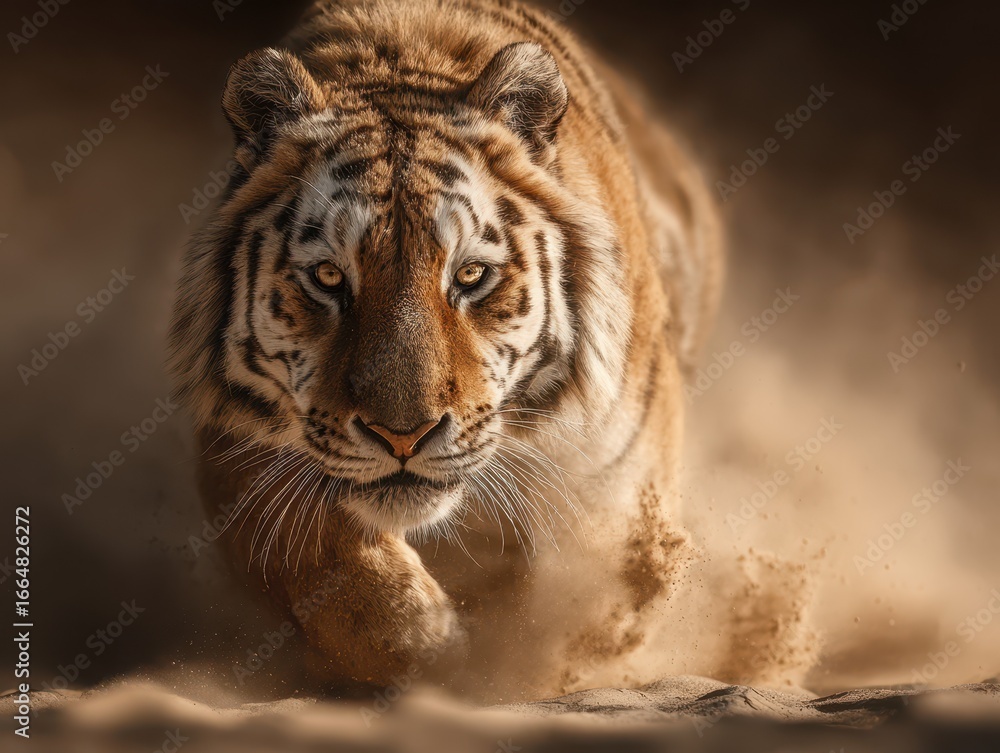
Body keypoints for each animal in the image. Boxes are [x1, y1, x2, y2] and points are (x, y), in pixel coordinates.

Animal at [169, 0, 723, 698]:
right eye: (328, 277)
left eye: (470, 275)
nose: (403, 436)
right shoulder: (237, 448)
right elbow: (332, 568)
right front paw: (432, 649)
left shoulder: (618, 484)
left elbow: (594, 592)